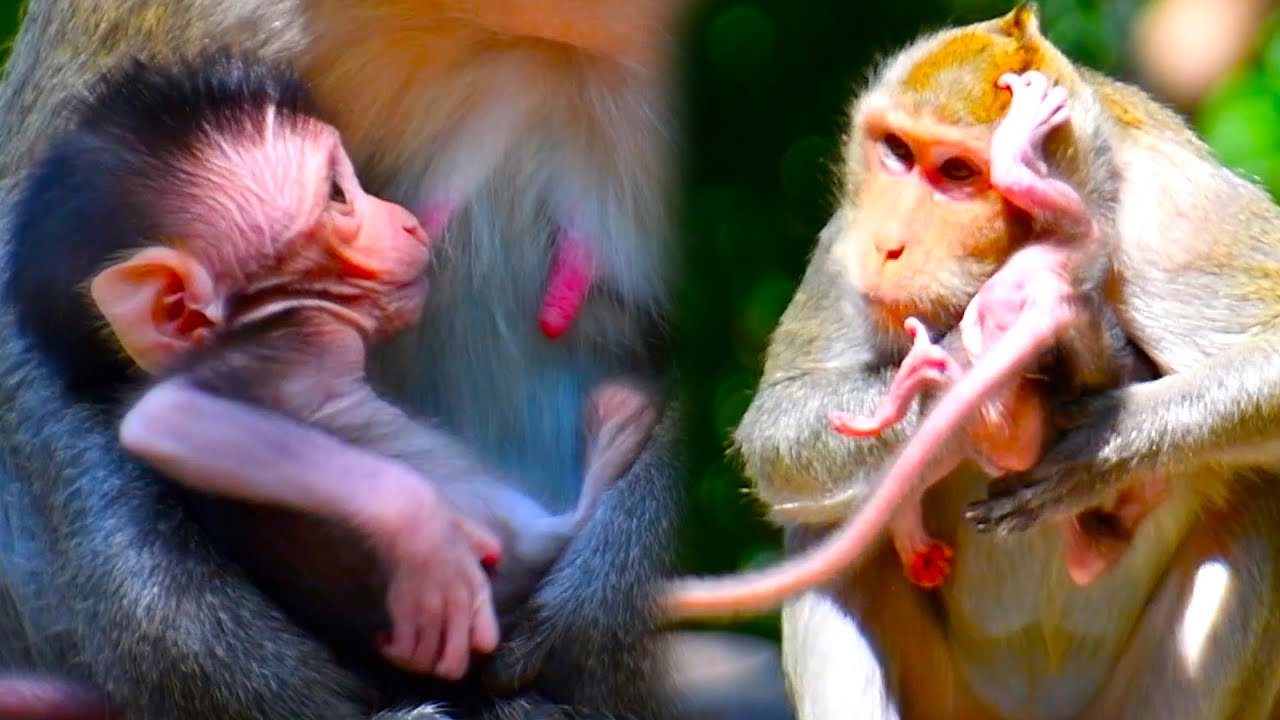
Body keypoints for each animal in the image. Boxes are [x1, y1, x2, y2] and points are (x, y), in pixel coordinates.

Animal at [730, 5, 1280, 718]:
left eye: (959, 173)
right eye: (898, 152)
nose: (885, 245)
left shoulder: (1179, 226)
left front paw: (1095, 450)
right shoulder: (848, 225)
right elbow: (778, 424)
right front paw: (976, 361)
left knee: (1261, 501)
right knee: (823, 528)